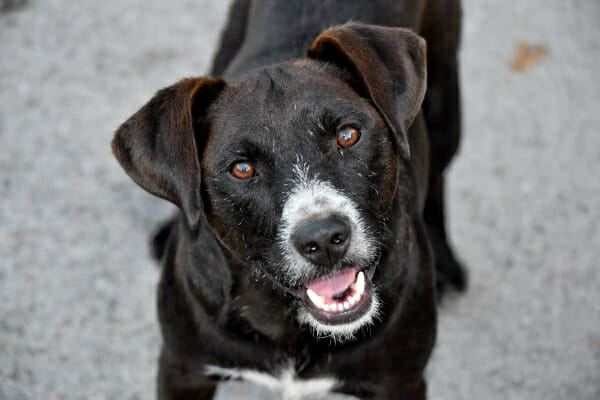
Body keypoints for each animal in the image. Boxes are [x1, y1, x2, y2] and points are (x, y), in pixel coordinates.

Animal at [113, 0, 468, 398]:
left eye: (348, 134)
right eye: (242, 168)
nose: (324, 239)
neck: (289, 322)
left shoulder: (400, 379)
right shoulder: (182, 368)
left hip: (444, 100)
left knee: (437, 174)